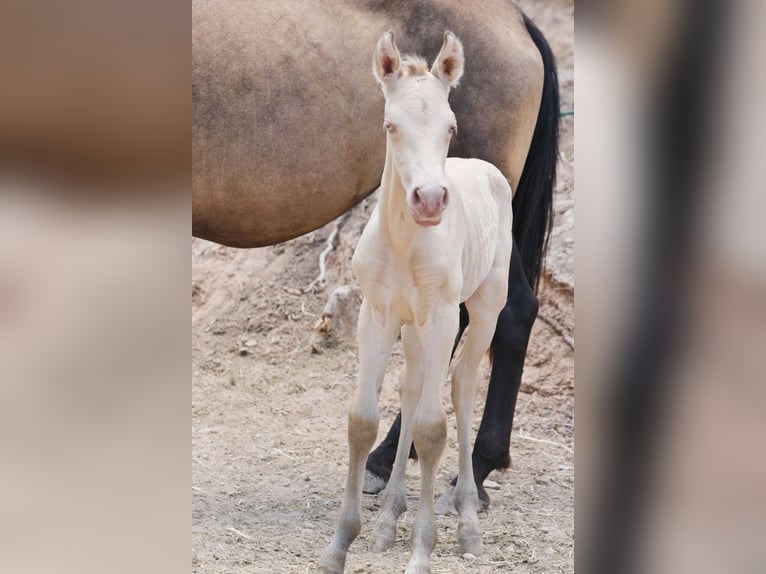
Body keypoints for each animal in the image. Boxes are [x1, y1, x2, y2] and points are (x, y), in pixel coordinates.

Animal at [320, 31, 512, 574]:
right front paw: (341, 544)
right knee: (411, 387)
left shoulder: (444, 314)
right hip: (412, 326)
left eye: (450, 127)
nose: (428, 200)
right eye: (391, 126)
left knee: (462, 386)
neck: (405, 242)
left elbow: (432, 428)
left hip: (483, 306)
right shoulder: (377, 314)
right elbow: (363, 419)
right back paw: (389, 519)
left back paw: (466, 521)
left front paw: (422, 550)